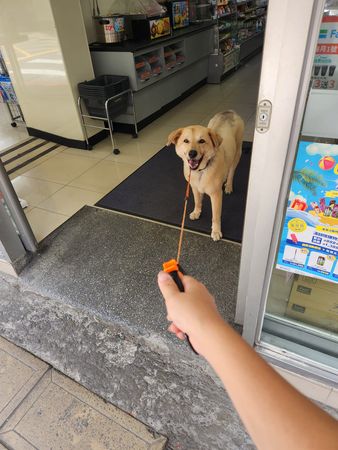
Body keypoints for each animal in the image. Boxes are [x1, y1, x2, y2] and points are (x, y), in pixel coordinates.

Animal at [168, 110, 244, 241]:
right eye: (186, 141)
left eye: (202, 141)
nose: (192, 153)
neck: (200, 171)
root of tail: (229, 112)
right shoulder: (194, 188)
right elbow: (198, 201)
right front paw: (197, 212)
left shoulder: (216, 195)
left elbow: (216, 216)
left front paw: (216, 231)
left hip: (237, 153)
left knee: (231, 171)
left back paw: (229, 185)